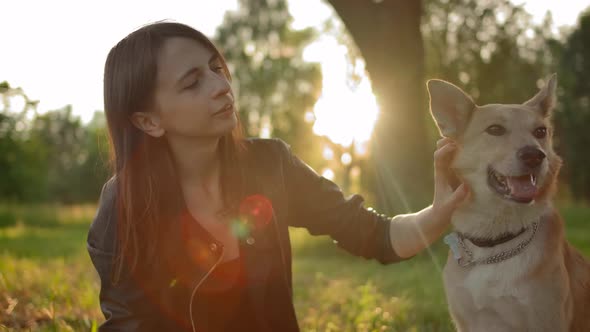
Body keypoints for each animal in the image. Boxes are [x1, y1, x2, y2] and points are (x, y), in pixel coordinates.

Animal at [430, 76, 590, 332]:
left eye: (540, 131)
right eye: (495, 129)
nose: (534, 155)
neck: (495, 244)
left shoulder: (546, 321)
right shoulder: (467, 321)